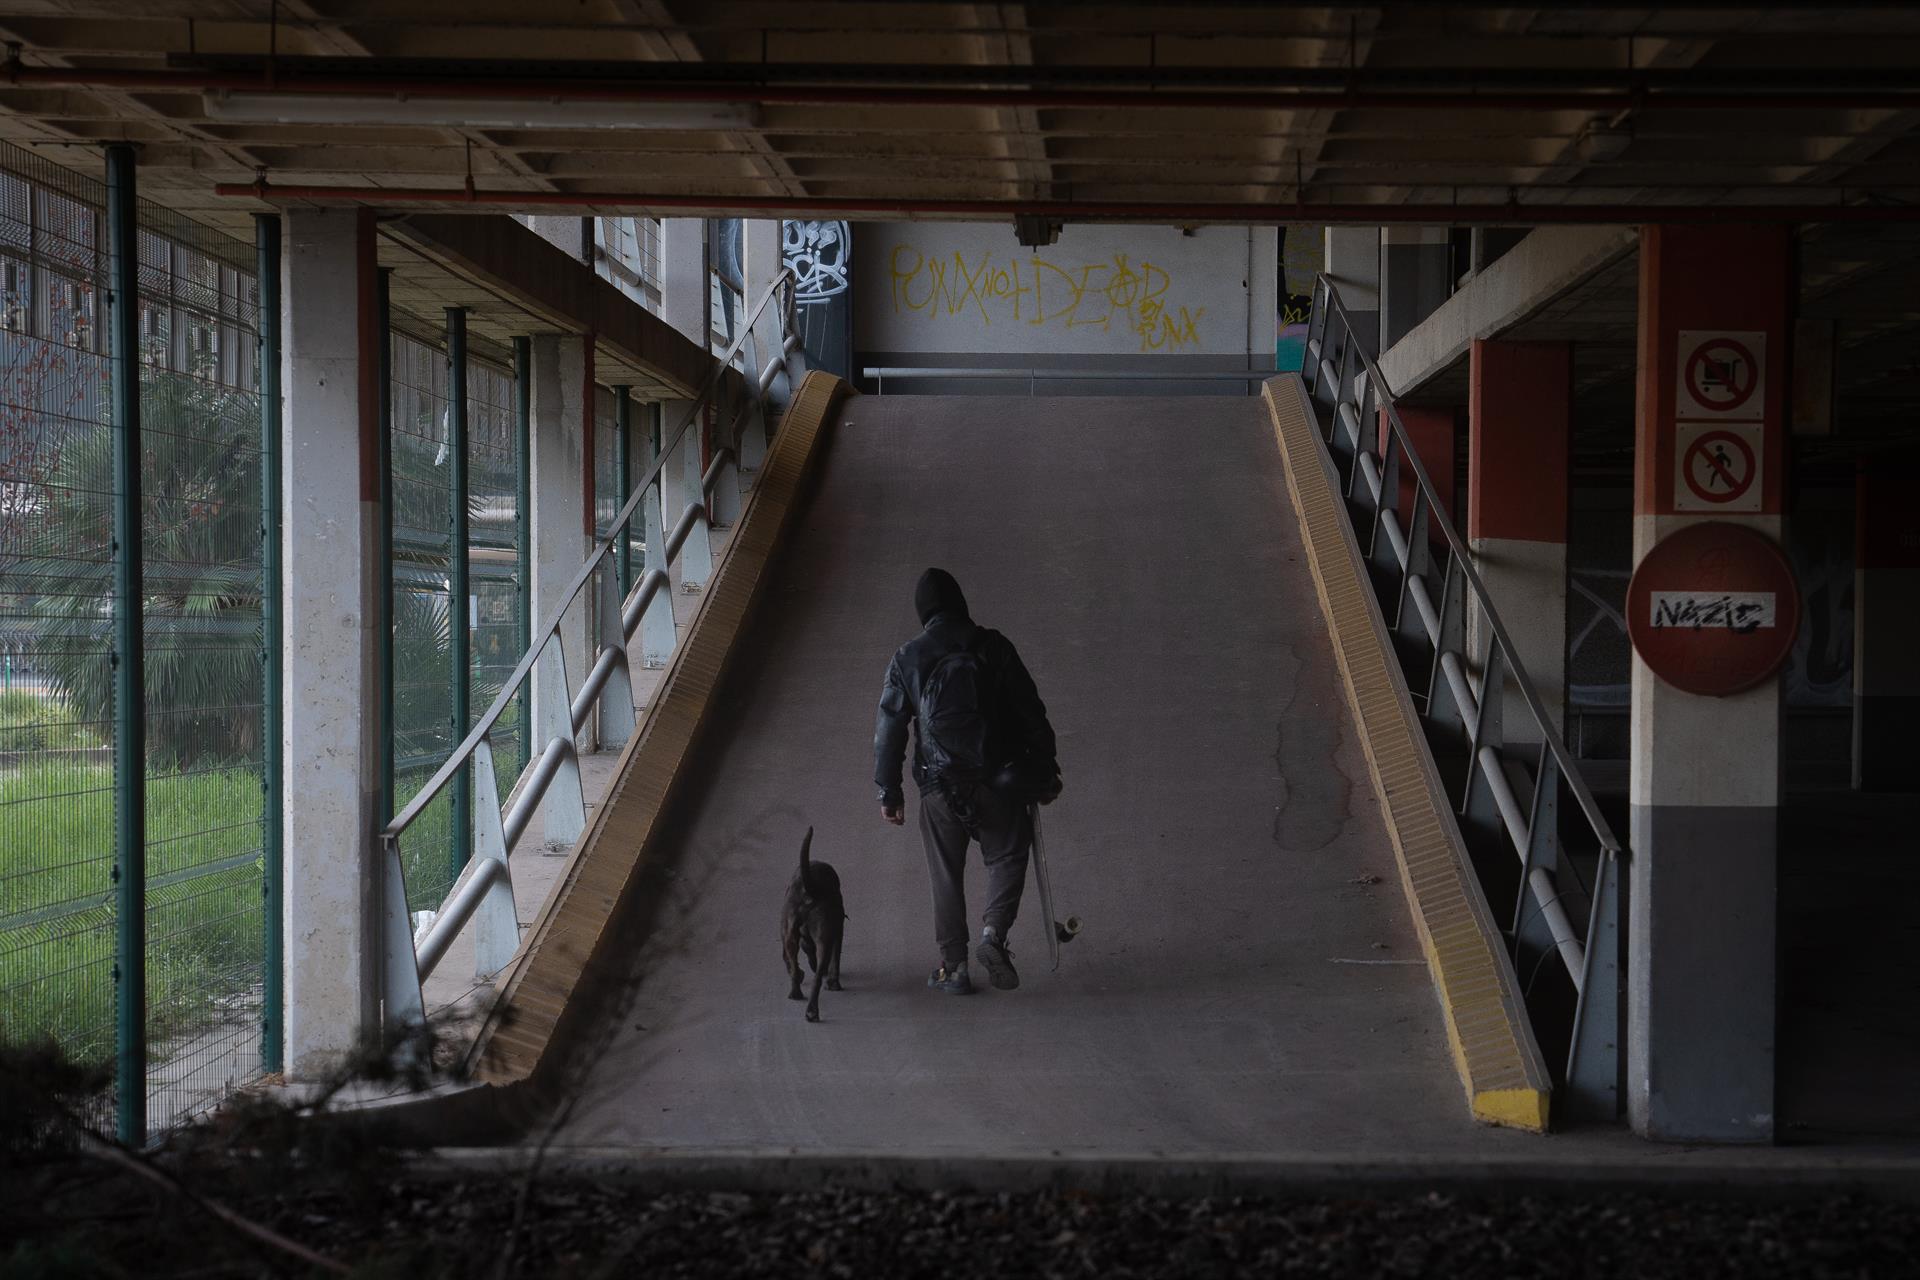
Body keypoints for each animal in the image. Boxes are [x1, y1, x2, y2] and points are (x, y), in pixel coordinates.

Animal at [775, 832, 844, 1020]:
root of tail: (809, 889)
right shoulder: (838, 931)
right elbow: (836, 959)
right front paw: (834, 982)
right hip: (821, 937)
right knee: (817, 976)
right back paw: (812, 1009)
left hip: (790, 935)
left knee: (794, 964)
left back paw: (797, 995)